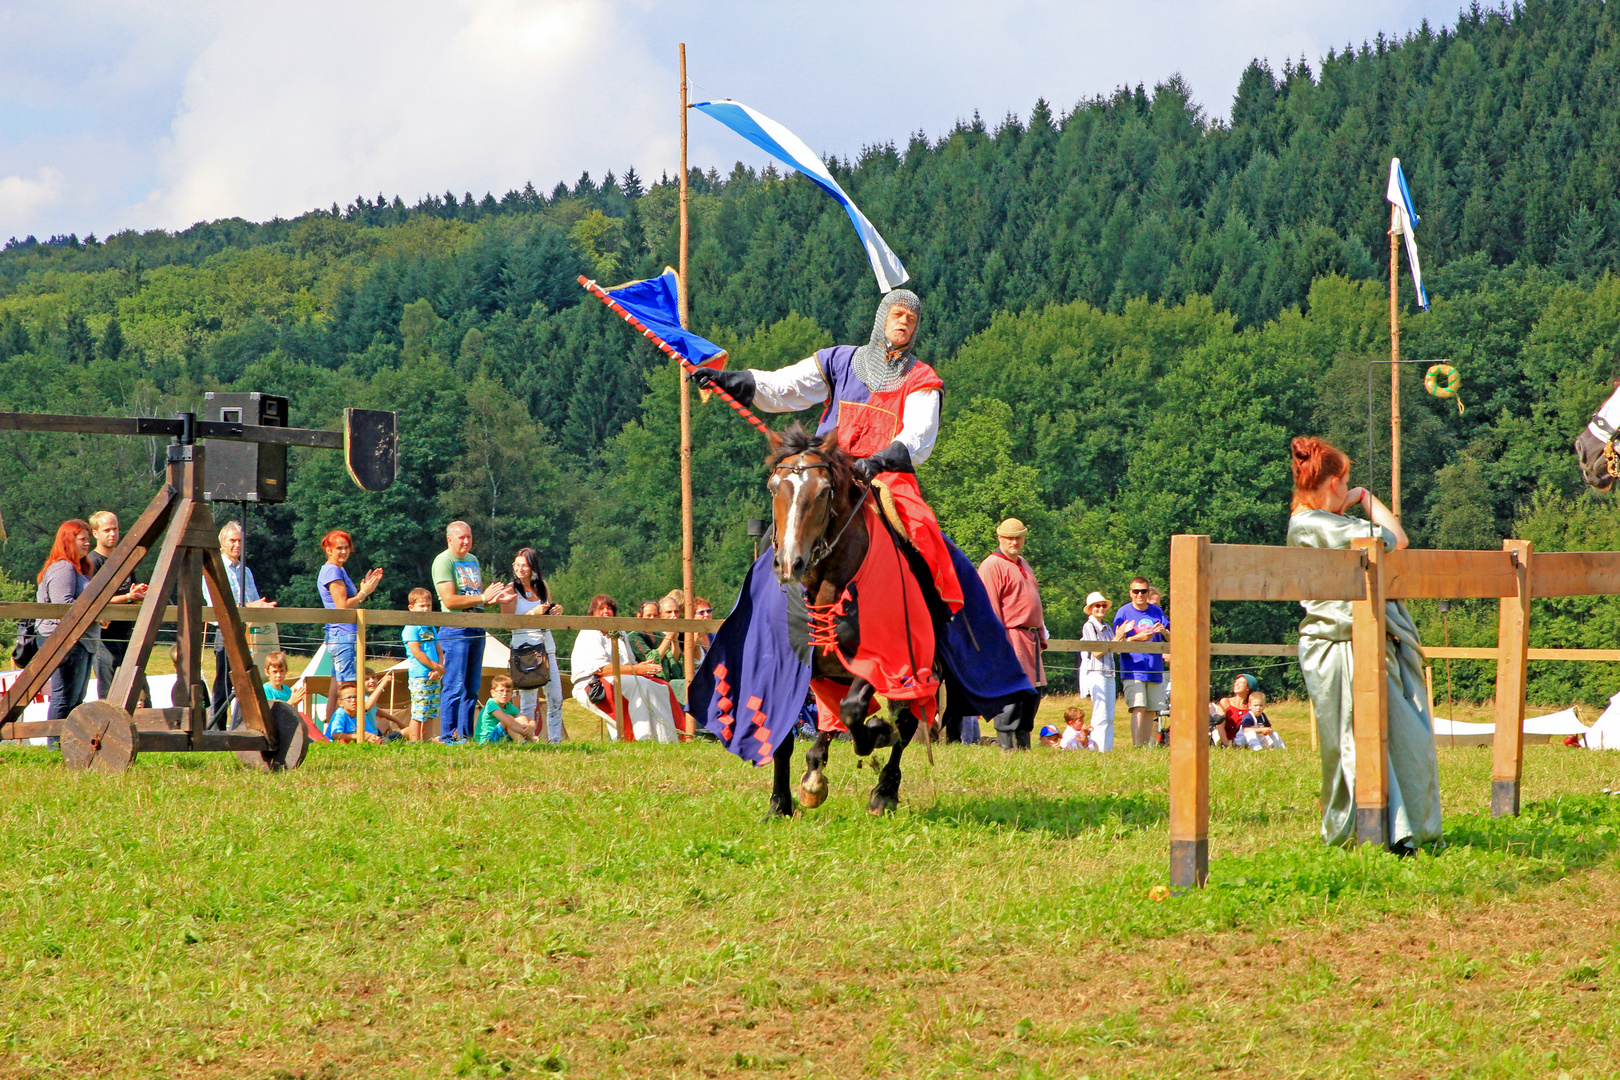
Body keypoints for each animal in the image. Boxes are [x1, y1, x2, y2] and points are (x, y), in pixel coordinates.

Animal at [767, 427, 926, 816]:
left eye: (824, 491)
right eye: (774, 487)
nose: (790, 563)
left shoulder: (878, 662)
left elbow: (856, 712)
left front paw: (878, 733)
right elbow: (786, 734)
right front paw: (780, 804)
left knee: (904, 722)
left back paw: (885, 790)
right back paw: (814, 774)